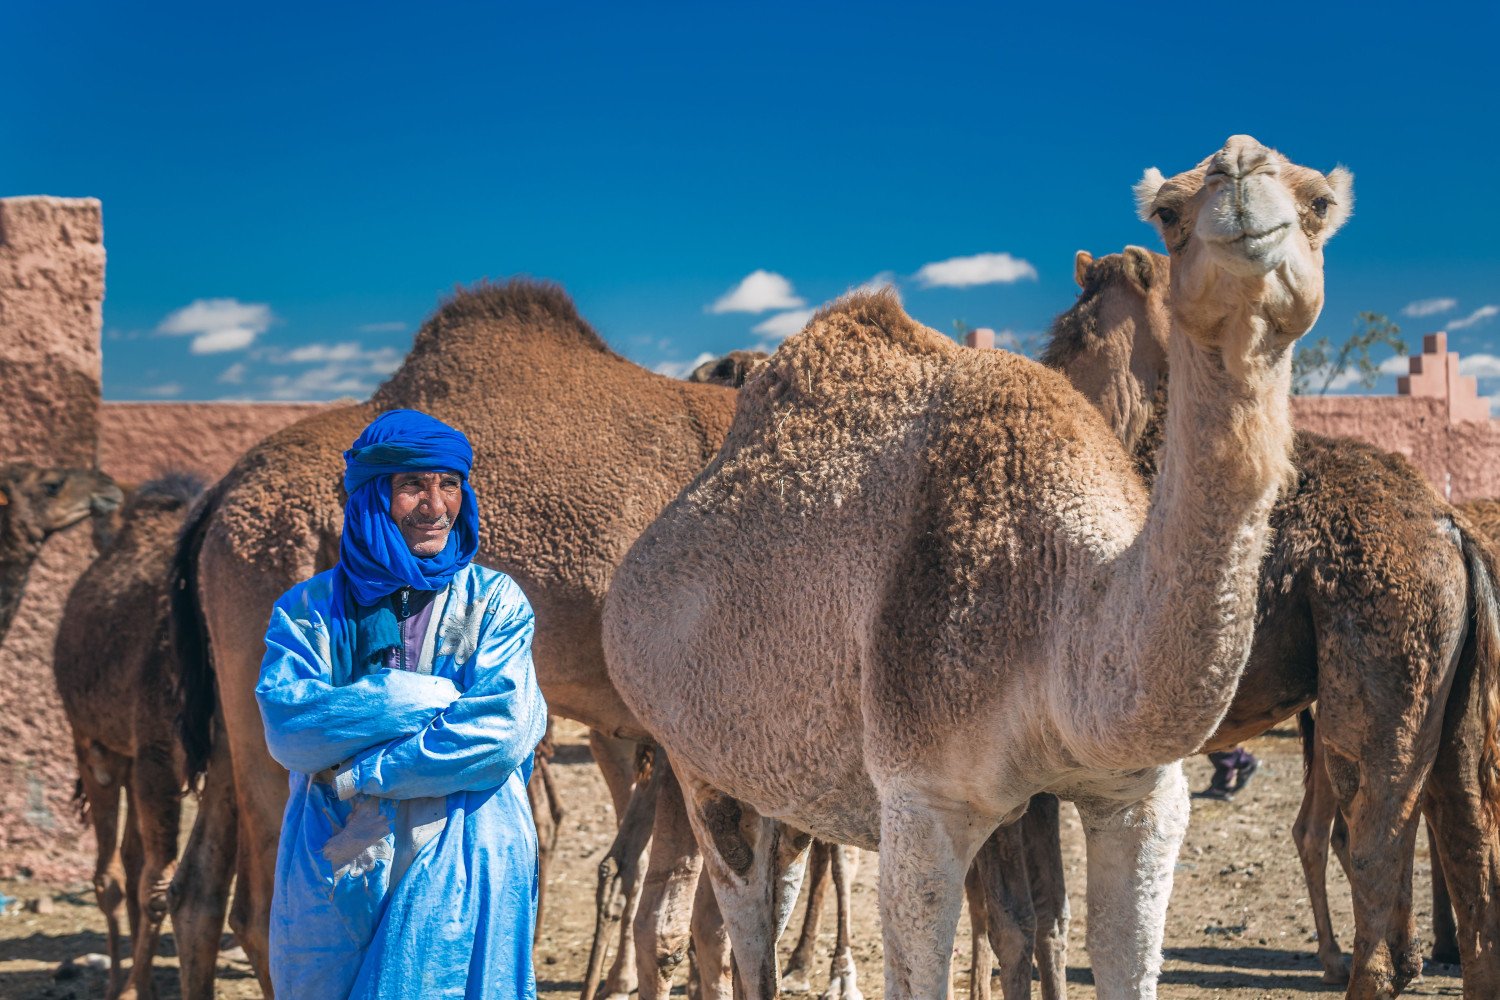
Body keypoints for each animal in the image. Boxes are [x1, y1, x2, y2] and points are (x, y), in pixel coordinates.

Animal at [50, 476, 205, 1000]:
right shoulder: (154, 751)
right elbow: (155, 885)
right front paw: (131, 988)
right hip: (95, 742)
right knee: (111, 875)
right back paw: (120, 980)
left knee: (129, 860)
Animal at [168, 287, 744, 995]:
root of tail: (220, 495)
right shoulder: (684, 737)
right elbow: (674, 928)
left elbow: (714, 925)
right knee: (263, 906)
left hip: (233, 692)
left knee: (196, 890)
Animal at [600, 134, 1362, 1000]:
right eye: (1168, 213)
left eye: (1320, 203)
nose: (1240, 168)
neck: (1059, 614)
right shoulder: (922, 803)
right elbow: (973, 941)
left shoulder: (1139, 796)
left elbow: (1101, 946)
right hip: (695, 759)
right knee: (739, 919)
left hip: (781, 778)